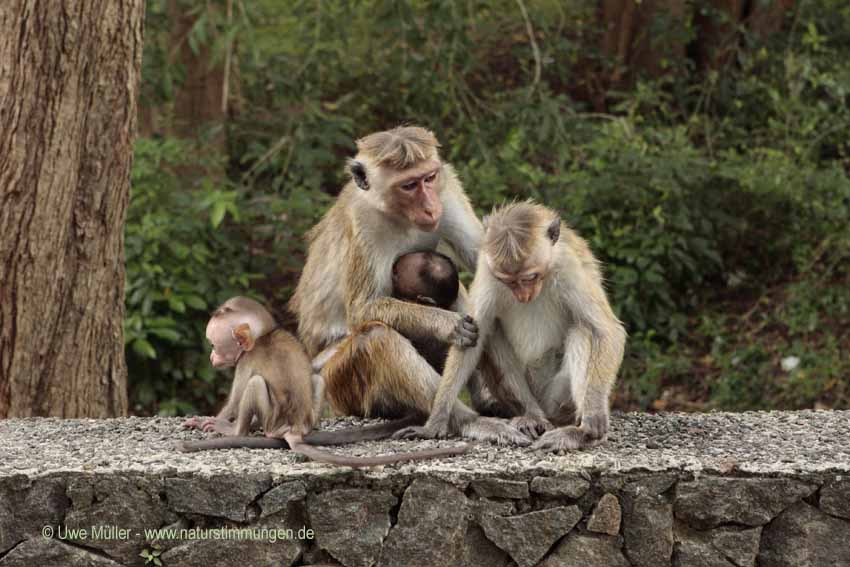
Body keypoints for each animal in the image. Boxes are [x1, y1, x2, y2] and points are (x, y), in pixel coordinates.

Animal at [181, 298, 468, 466]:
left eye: (214, 344)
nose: (212, 356)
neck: (264, 335)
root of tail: (294, 428)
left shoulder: (246, 361)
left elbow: (235, 399)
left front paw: (218, 422)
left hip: (272, 418)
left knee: (256, 385)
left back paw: (239, 431)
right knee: (317, 380)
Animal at [292, 125, 528, 448]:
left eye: (428, 178)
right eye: (408, 185)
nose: (430, 208)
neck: (396, 214)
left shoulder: (446, 190)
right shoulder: (364, 221)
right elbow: (362, 309)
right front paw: (447, 324)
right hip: (342, 387)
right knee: (376, 337)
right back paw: (468, 421)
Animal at [394, 201, 628, 452]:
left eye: (529, 277)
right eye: (508, 281)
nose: (523, 295)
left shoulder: (569, 267)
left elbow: (607, 330)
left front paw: (593, 416)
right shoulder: (488, 270)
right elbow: (474, 337)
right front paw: (435, 422)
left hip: (558, 401)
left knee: (582, 330)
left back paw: (578, 433)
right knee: (493, 333)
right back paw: (532, 416)